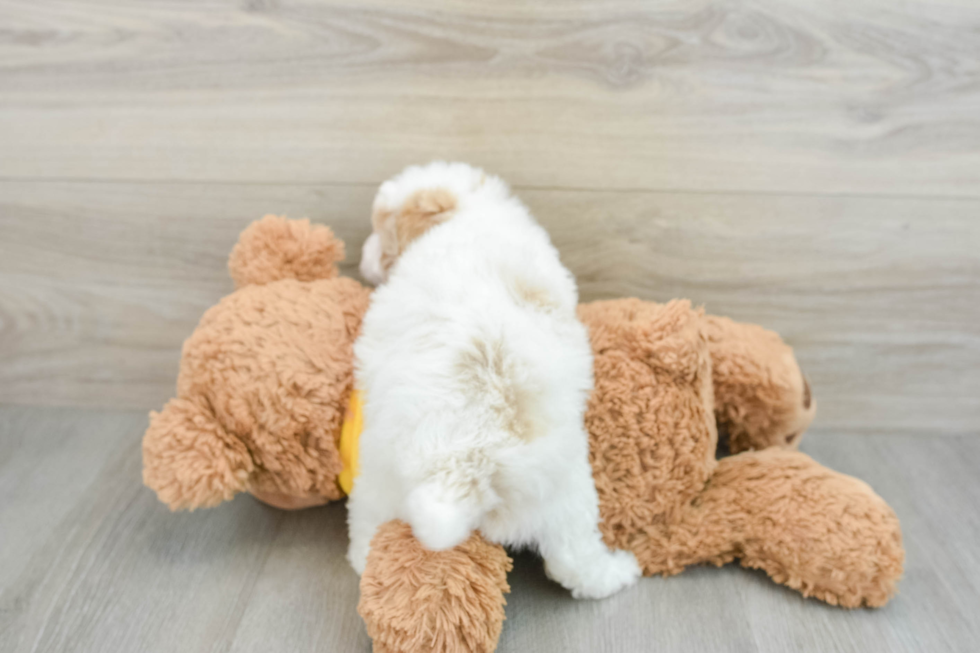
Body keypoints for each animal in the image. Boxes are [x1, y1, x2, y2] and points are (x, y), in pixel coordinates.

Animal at [348, 162, 640, 596]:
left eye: (378, 227)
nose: (362, 256)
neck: (470, 212)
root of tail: (469, 466)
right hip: (570, 497)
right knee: (576, 562)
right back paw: (617, 573)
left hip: (379, 481)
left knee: (366, 524)